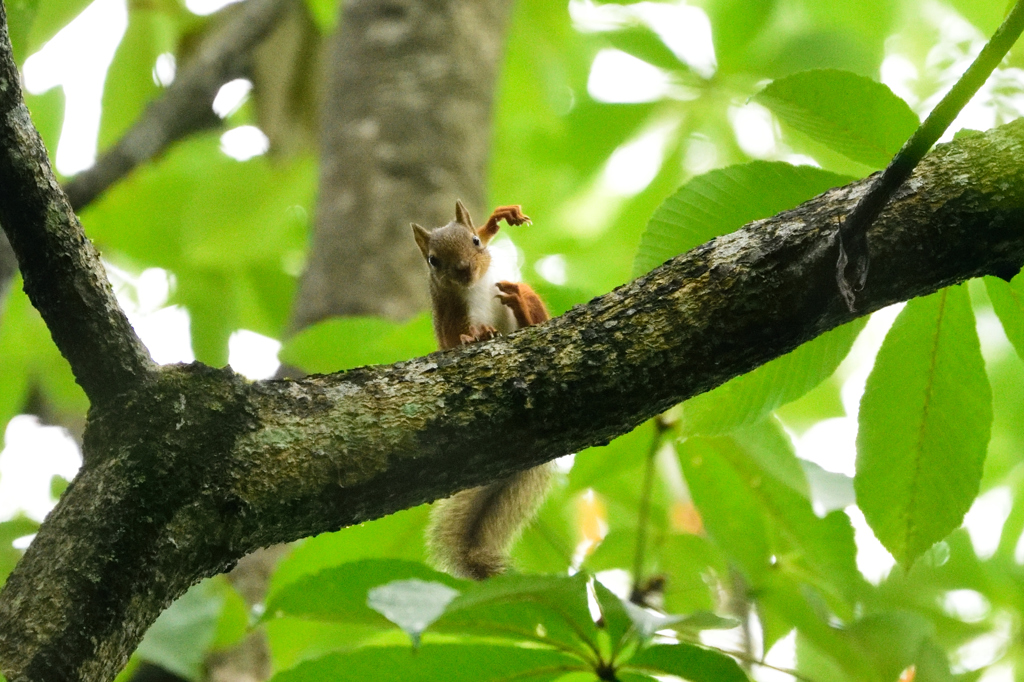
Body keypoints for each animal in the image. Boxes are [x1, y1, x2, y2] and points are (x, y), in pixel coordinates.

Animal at [409, 199, 557, 577]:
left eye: (475, 242)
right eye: (433, 261)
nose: (464, 270)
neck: (473, 286)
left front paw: (499, 218)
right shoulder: (450, 312)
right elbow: (456, 336)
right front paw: (472, 336)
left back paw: (521, 302)